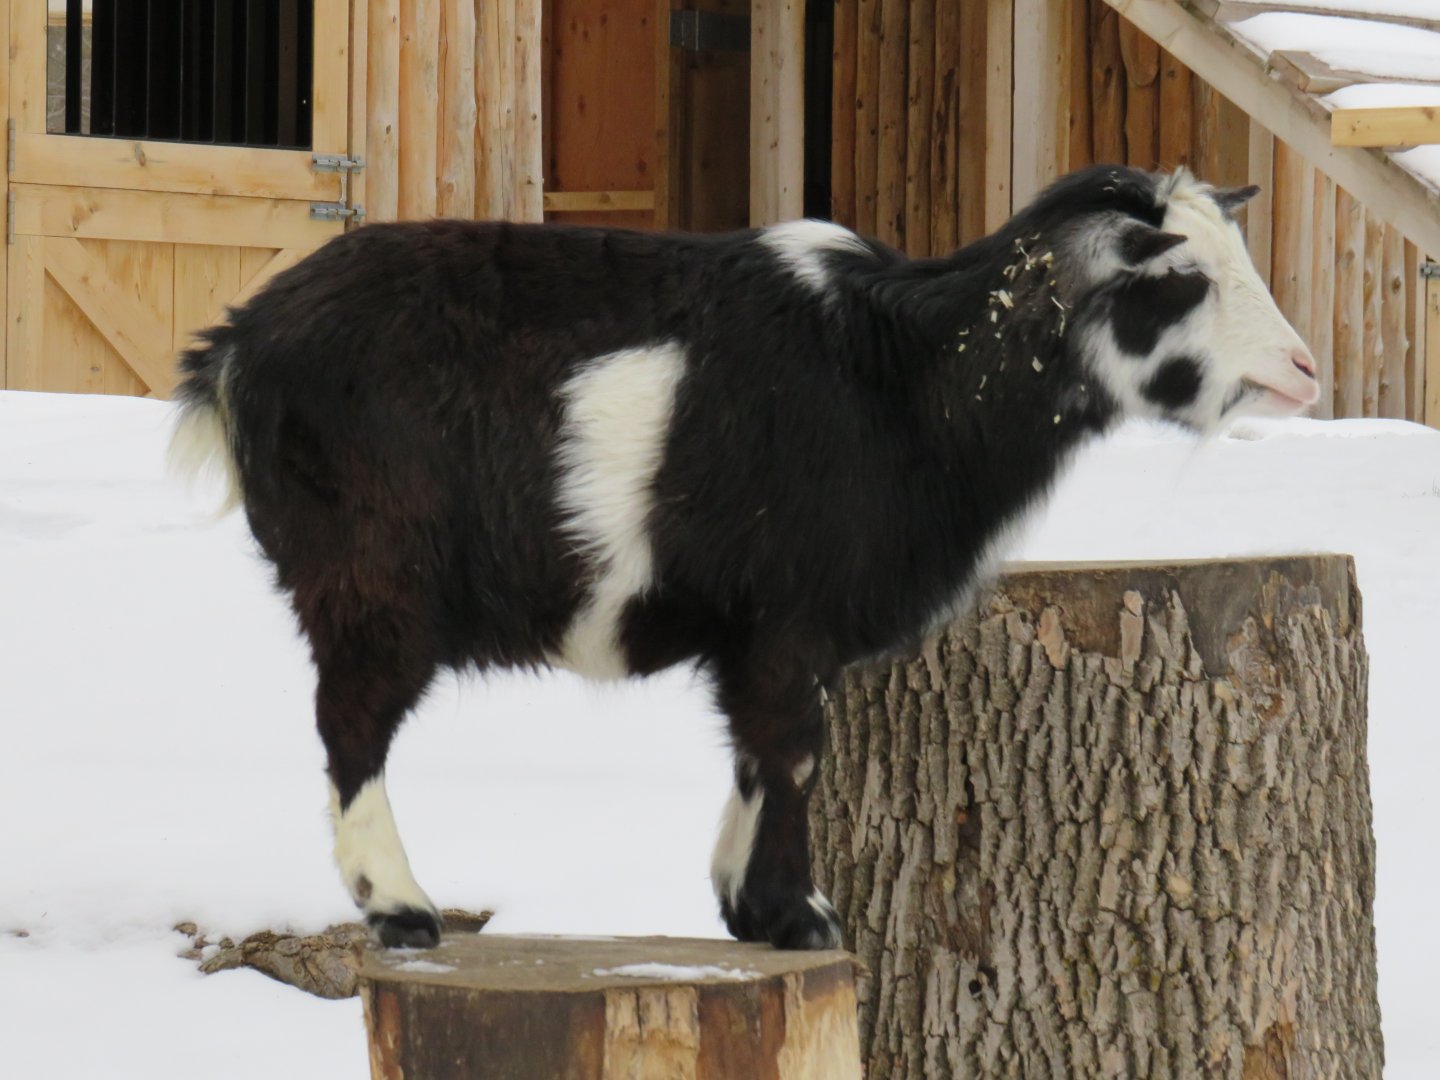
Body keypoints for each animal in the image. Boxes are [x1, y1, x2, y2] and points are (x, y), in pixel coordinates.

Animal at [170, 166, 1318, 951]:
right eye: (1181, 275)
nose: (1303, 370)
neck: (907, 378)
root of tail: (236, 347)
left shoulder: (762, 632)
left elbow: (759, 749)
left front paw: (747, 907)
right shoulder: (788, 612)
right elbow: (793, 748)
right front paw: (798, 914)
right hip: (373, 576)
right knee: (352, 721)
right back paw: (403, 909)